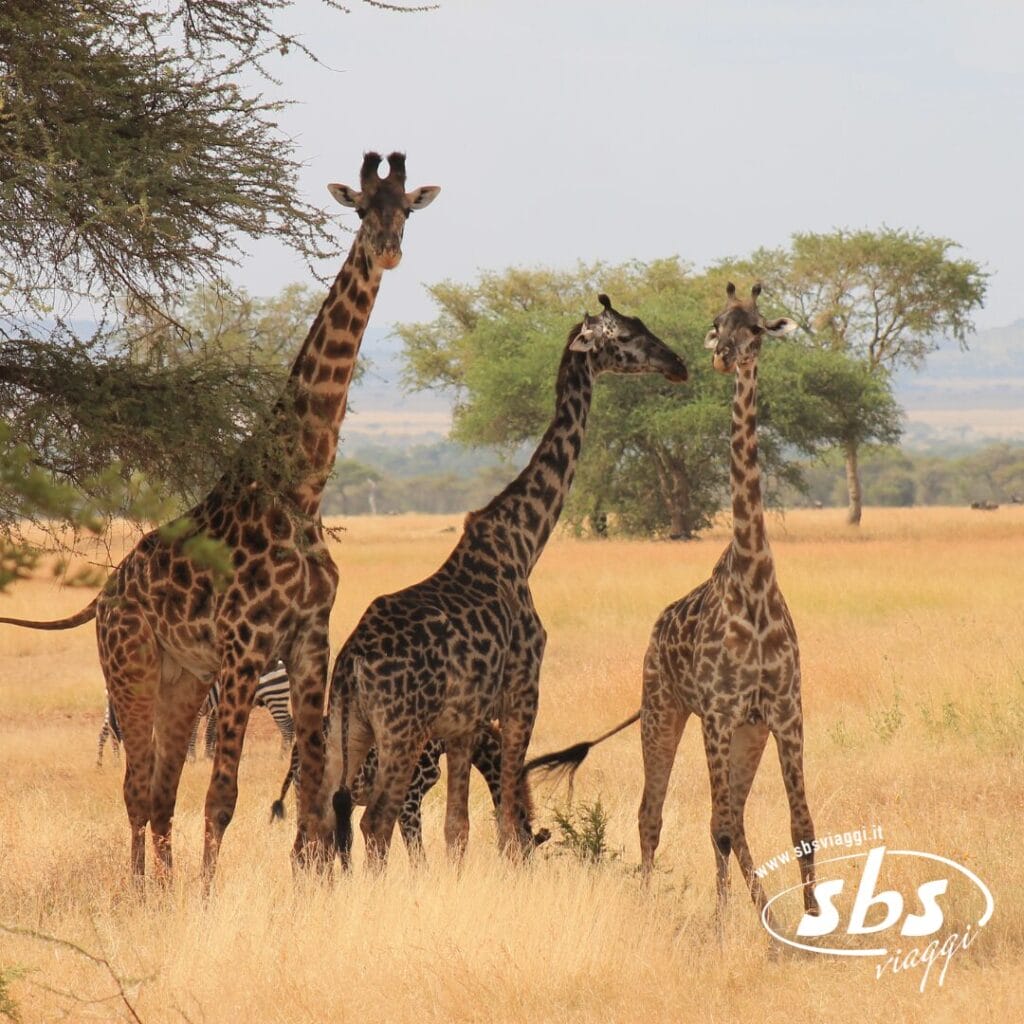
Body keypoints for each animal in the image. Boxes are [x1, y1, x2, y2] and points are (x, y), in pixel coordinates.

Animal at [0, 152, 440, 885]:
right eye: (359, 209)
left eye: (406, 208)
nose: (389, 249)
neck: (301, 493)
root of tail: (103, 595)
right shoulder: (245, 644)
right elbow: (225, 795)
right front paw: (208, 897)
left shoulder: (309, 640)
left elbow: (312, 788)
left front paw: (306, 886)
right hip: (131, 667)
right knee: (136, 788)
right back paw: (144, 891)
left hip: (182, 678)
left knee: (159, 791)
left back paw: (163, 889)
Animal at [317, 295, 688, 868]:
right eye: (625, 336)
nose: (678, 364)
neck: (522, 545)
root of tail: (352, 662)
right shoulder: (521, 693)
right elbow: (509, 824)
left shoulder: (464, 722)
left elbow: (459, 828)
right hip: (400, 730)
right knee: (375, 819)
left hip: (350, 730)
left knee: (323, 820)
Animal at [526, 283, 819, 929]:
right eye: (717, 322)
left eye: (756, 327)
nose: (722, 356)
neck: (754, 583)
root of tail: (655, 630)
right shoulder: (718, 712)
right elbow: (719, 828)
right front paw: (721, 928)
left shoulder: (784, 711)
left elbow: (801, 826)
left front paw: (816, 925)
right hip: (663, 708)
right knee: (656, 814)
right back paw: (654, 903)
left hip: (746, 730)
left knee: (731, 816)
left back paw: (764, 915)